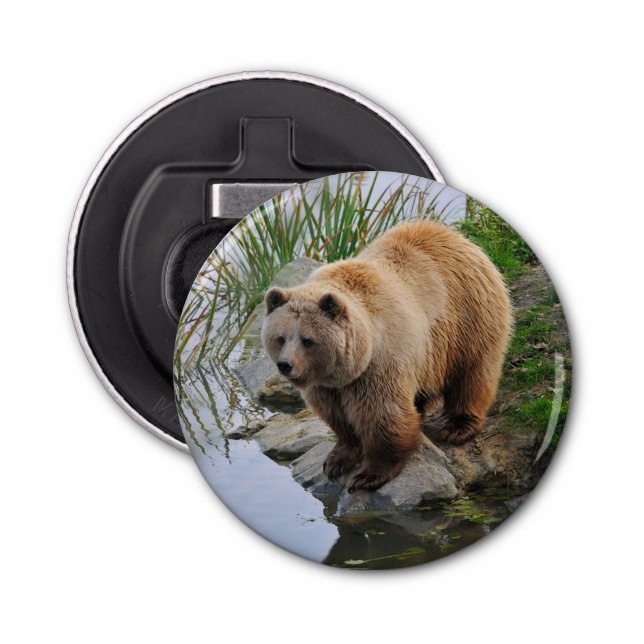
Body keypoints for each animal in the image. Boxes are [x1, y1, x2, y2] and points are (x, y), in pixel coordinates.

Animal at [261, 219, 512, 493]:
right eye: (280, 337)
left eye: (307, 340)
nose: (285, 365)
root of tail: (453, 235)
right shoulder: (327, 385)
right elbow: (337, 417)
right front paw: (337, 460)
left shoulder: (379, 364)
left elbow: (382, 415)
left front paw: (369, 475)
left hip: (467, 316)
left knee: (471, 373)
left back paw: (458, 427)